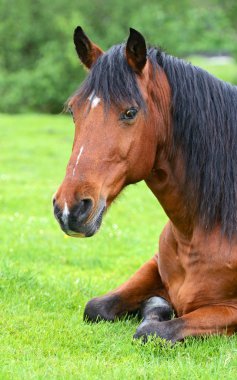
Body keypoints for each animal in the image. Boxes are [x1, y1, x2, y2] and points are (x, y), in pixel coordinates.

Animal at [53, 26, 237, 342]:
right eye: (74, 111)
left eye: (130, 112)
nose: (69, 209)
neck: (199, 231)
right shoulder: (153, 265)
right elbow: (96, 306)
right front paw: (156, 303)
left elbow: (155, 331)